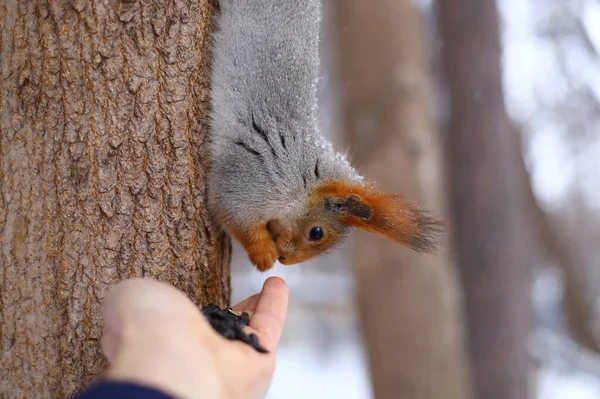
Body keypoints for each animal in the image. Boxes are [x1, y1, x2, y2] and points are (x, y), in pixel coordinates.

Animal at [207, 0, 440, 272]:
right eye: (317, 232)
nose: (285, 260)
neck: (305, 183)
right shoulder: (251, 180)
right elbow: (234, 215)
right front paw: (264, 255)